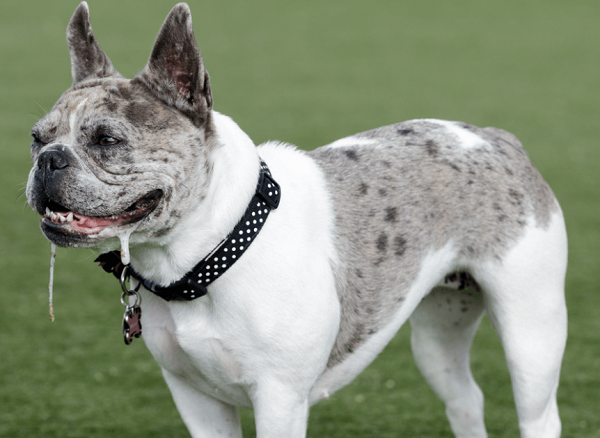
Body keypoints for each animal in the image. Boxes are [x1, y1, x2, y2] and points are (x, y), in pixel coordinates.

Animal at [27, 3, 568, 438]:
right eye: (36, 138)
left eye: (107, 141)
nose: (50, 159)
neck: (205, 257)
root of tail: (493, 138)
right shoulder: (195, 399)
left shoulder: (280, 400)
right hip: (438, 337)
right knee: (465, 399)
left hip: (531, 333)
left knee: (538, 413)